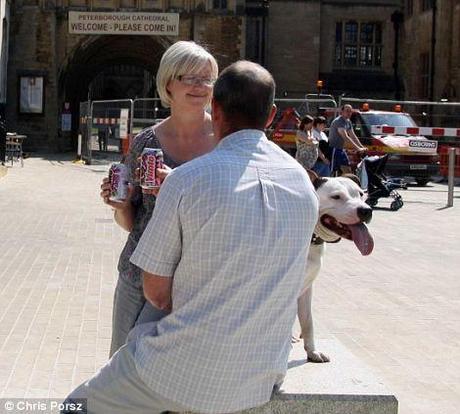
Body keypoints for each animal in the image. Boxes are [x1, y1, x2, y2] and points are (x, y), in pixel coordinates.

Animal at [298, 172, 374, 362]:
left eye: (360, 194)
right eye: (336, 197)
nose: (366, 210)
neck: (312, 239)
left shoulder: (306, 288)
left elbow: (308, 321)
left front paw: (312, 351)